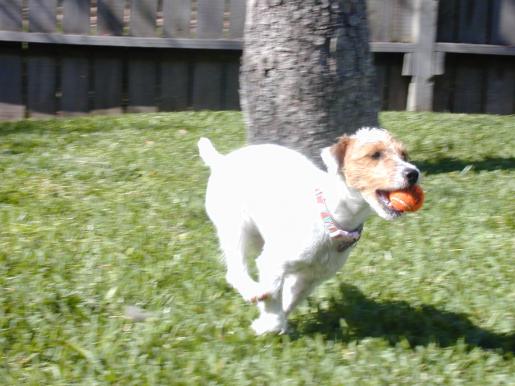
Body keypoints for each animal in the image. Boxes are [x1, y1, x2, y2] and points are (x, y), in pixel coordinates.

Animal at [198, 128, 420, 334]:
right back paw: (251, 290)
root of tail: (221, 160)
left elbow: (288, 300)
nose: (414, 173)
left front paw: (272, 323)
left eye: (404, 155)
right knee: (235, 271)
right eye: (375, 155)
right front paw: (269, 321)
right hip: (237, 230)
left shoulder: (309, 278)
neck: (331, 219)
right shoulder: (273, 262)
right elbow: (273, 294)